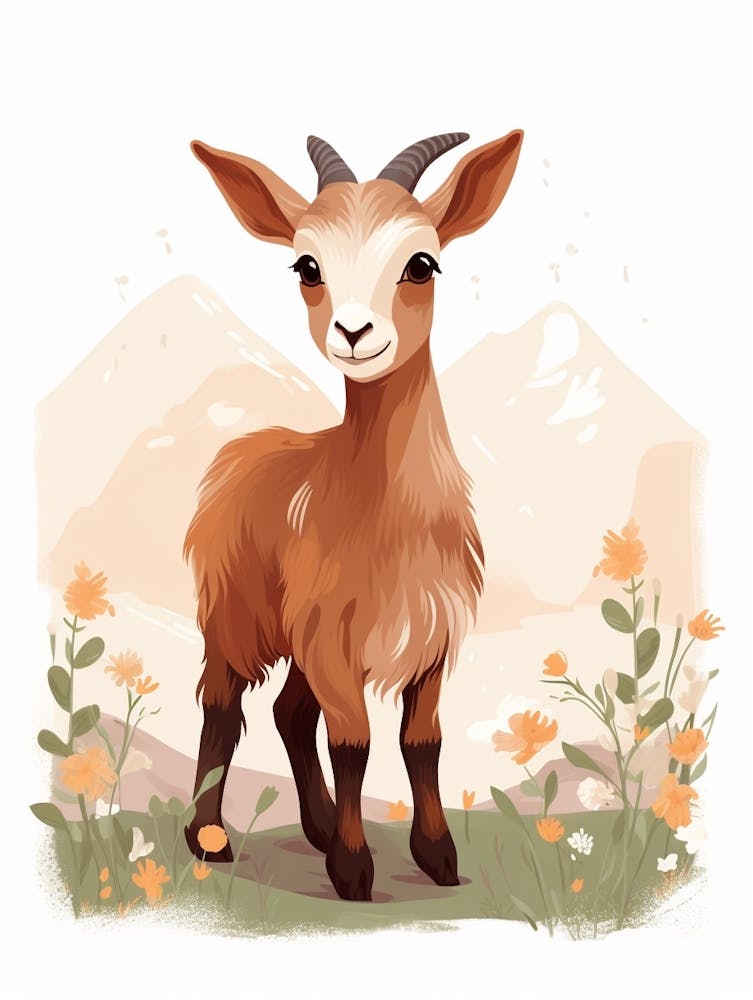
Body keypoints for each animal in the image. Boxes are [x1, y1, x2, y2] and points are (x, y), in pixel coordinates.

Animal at [184, 130, 524, 901]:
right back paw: (207, 837)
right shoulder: (334, 642)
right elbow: (354, 743)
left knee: (287, 711)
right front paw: (354, 869)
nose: (353, 331)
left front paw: (438, 858)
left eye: (421, 263)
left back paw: (311, 825)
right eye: (306, 265)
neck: (390, 517)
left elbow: (420, 742)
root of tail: (243, 448)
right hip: (235, 614)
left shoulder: (430, 639)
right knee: (223, 705)